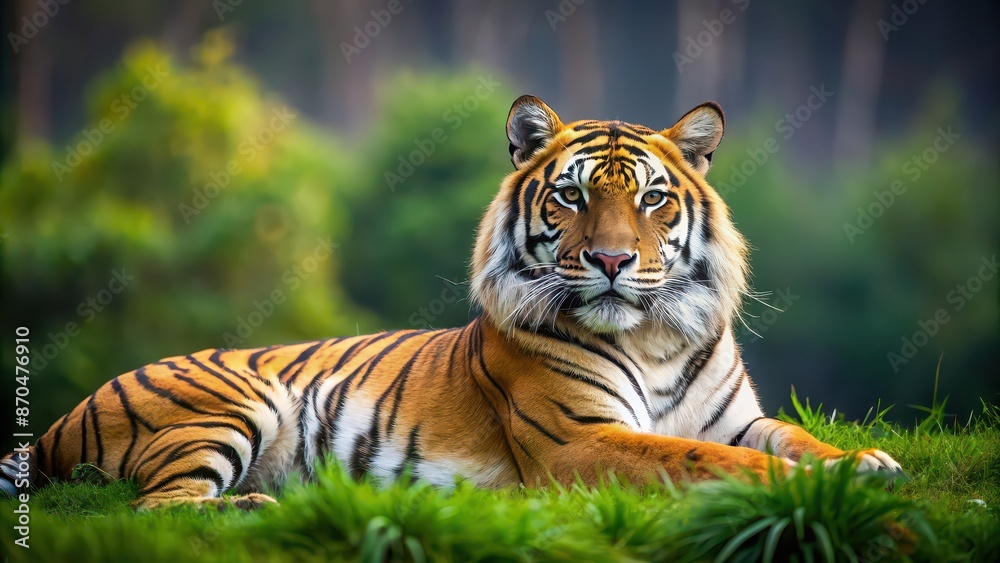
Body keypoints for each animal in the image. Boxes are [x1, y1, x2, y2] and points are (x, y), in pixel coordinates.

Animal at [1, 95, 902, 510]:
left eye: (652, 198)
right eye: (571, 195)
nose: (612, 260)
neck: (655, 337)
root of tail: (53, 421)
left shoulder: (737, 415)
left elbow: (789, 437)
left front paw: (865, 461)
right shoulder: (578, 440)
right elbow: (701, 459)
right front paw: (805, 484)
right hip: (230, 404)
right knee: (163, 506)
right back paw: (257, 506)